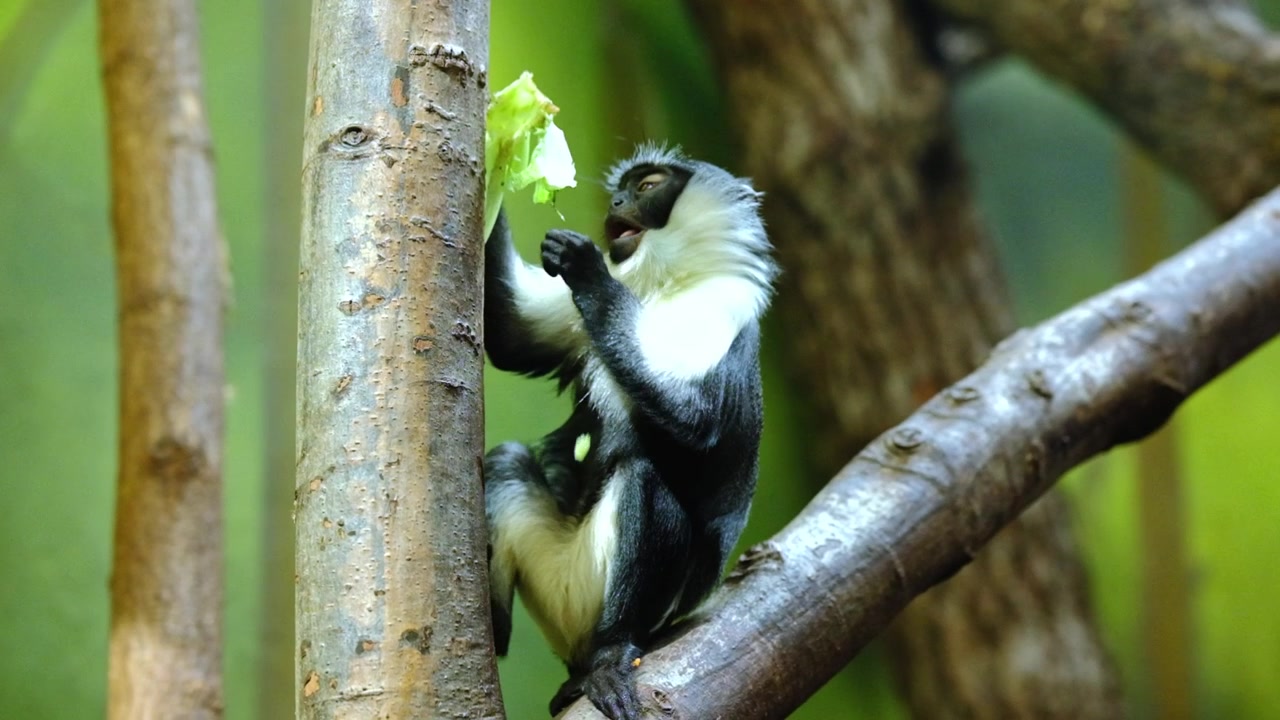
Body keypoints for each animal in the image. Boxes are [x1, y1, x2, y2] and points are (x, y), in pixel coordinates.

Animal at [483, 144, 777, 719]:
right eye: (621, 189)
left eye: (647, 186)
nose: (615, 202)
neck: (663, 284)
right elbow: (510, 330)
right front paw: (501, 138)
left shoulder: (721, 305)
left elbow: (695, 421)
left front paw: (585, 268)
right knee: (506, 461)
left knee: (646, 481)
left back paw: (608, 658)